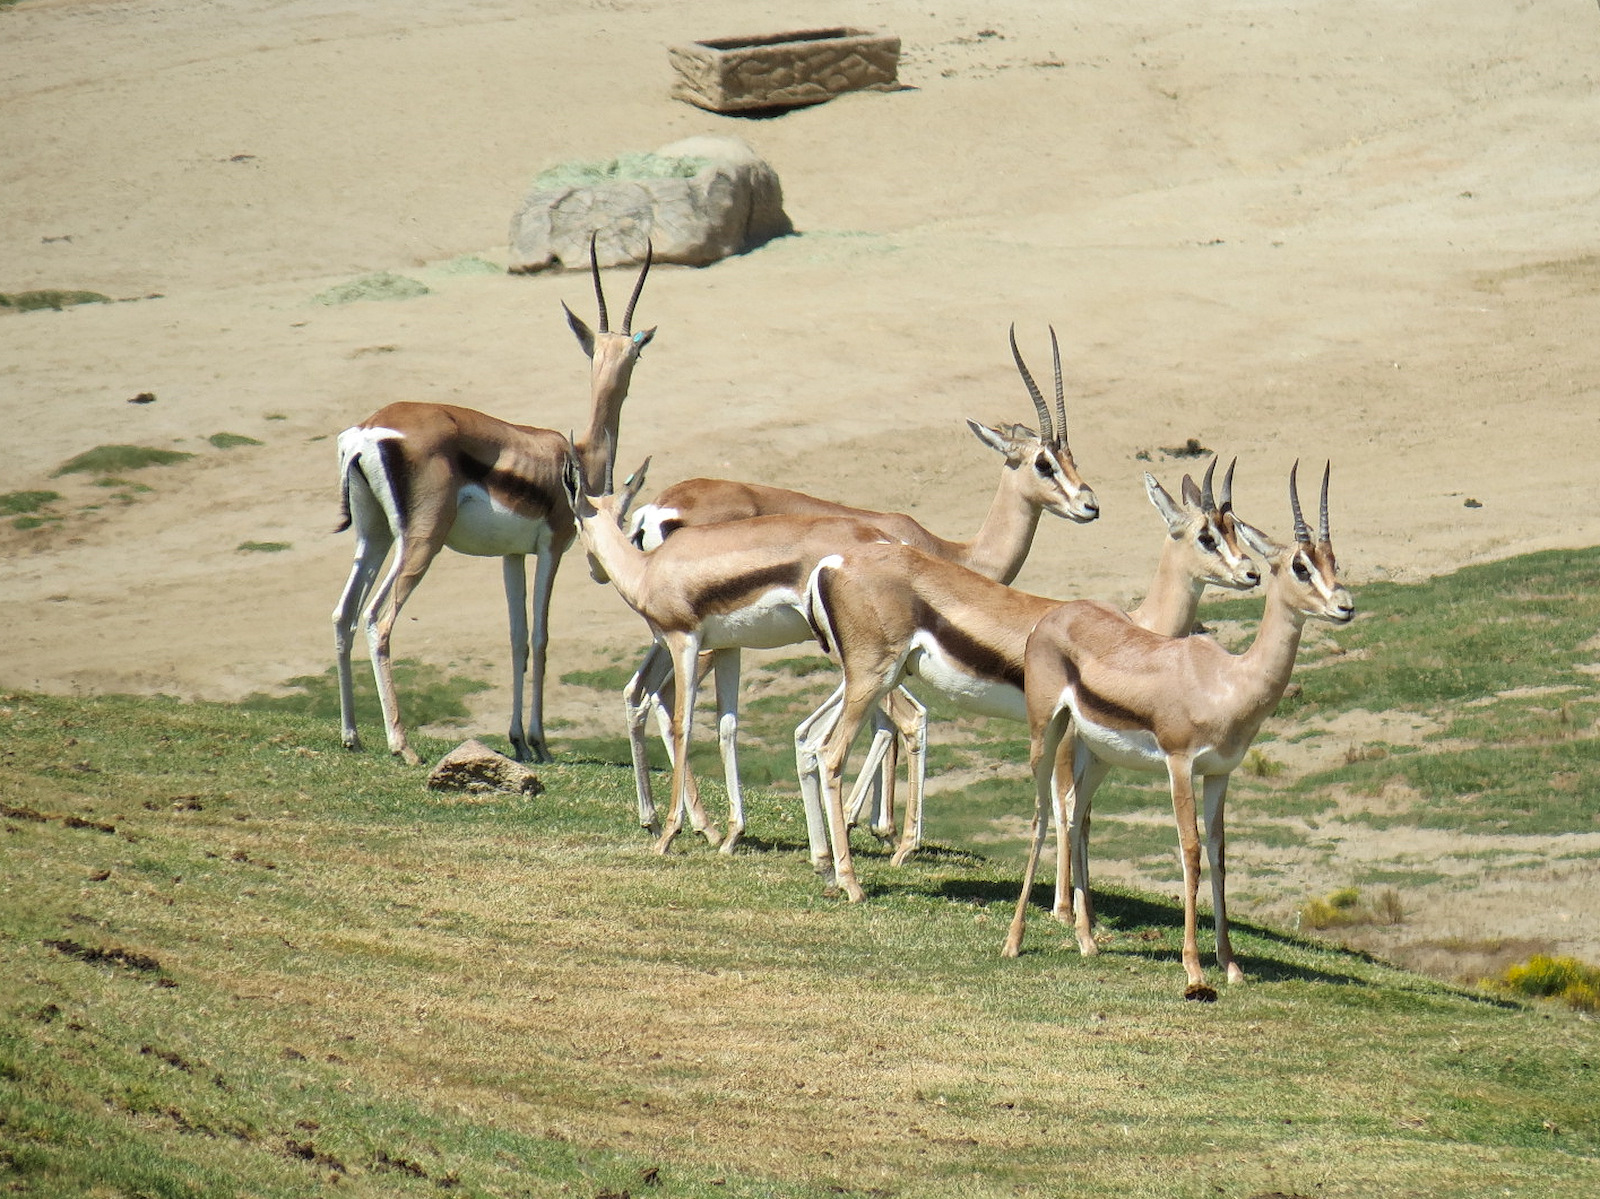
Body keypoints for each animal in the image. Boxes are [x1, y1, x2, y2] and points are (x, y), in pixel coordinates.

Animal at [332, 238, 654, 765]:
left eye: (628, 352)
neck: (576, 454)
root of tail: (367, 432)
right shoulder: (551, 548)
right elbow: (541, 637)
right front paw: (540, 742)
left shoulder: (510, 556)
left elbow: (516, 638)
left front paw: (518, 739)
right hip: (420, 541)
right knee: (377, 618)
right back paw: (403, 744)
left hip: (373, 535)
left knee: (343, 614)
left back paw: (351, 735)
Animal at [624, 327, 1100, 842]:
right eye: (1043, 463)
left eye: (1070, 456)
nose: (1090, 505)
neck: (948, 549)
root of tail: (655, 510)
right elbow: (893, 723)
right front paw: (876, 825)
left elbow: (880, 724)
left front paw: (869, 823)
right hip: (706, 640)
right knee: (672, 704)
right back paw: (707, 827)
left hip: (683, 636)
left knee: (641, 694)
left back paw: (662, 819)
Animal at [795, 460, 1262, 905]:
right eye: (1206, 536)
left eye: (1233, 526)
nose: (1252, 574)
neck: (1133, 628)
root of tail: (833, 564)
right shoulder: (1069, 733)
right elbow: (1063, 802)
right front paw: (1062, 907)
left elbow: (1078, 810)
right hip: (872, 680)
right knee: (832, 755)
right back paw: (852, 883)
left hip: (864, 683)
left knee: (812, 741)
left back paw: (827, 870)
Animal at [1002, 463, 1353, 997]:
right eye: (1300, 565)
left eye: (1334, 561)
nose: (1344, 606)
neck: (1227, 681)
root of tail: (1055, 615)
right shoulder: (1179, 764)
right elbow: (1189, 851)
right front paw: (1193, 968)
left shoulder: (1220, 773)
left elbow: (1219, 852)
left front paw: (1231, 964)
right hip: (1047, 733)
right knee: (1045, 813)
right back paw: (1015, 940)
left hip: (1098, 755)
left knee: (1078, 813)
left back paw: (1087, 940)